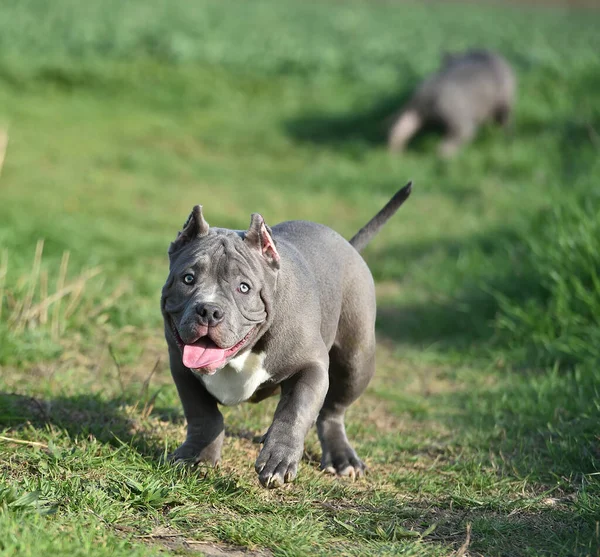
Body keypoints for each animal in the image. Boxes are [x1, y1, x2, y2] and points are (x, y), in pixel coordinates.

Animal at [161, 182, 412, 486]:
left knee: (333, 410)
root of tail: (348, 244)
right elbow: (203, 414)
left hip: (357, 359)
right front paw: (196, 456)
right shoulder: (181, 367)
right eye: (188, 278)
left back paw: (342, 458)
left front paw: (278, 459)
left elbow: (294, 412)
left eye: (243, 287)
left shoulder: (310, 367)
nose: (209, 310)